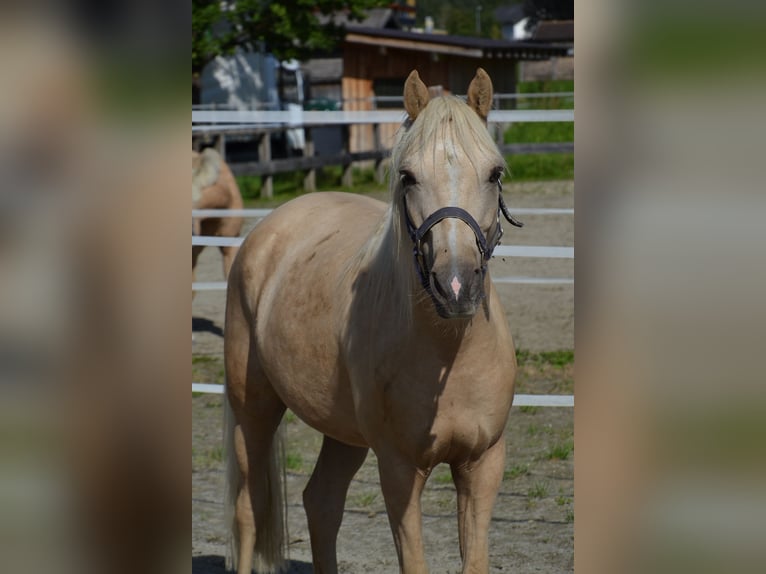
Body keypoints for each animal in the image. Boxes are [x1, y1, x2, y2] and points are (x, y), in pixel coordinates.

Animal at [223, 68, 520, 574]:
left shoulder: (482, 464)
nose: (456, 286)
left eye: (494, 173)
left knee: (321, 502)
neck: (450, 356)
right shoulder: (399, 469)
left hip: (343, 432)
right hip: (254, 411)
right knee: (249, 510)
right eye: (408, 176)